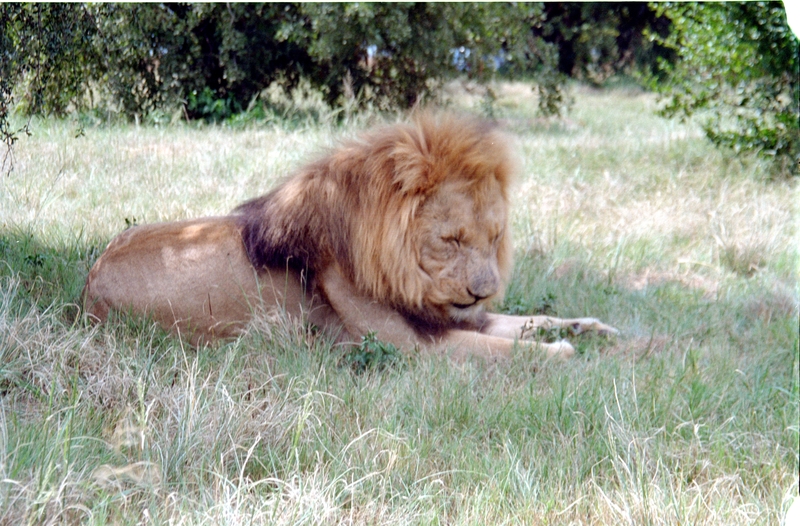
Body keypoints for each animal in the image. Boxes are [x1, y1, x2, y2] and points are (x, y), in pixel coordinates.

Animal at [83, 113, 620, 364]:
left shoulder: (443, 315)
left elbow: (532, 320)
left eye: (495, 237)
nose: (482, 292)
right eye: (451, 240)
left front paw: (594, 330)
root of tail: (88, 284)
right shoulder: (412, 346)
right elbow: (503, 349)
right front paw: (562, 354)